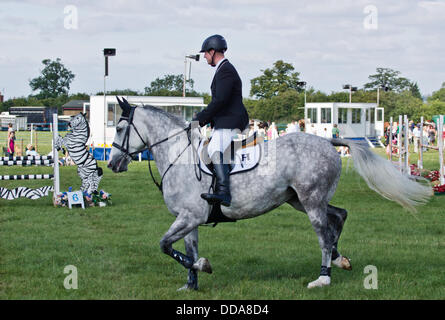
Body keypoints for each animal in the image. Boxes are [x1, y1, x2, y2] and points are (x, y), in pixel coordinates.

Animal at [106, 99, 430, 292]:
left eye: (120, 127)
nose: (112, 164)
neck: (179, 156)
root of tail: (328, 142)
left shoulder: (189, 217)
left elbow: (164, 245)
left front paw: (203, 267)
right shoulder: (189, 219)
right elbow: (187, 250)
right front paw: (191, 284)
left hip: (311, 201)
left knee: (324, 236)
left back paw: (323, 277)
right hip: (299, 200)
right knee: (339, 216)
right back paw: (341, 260)